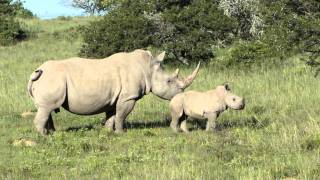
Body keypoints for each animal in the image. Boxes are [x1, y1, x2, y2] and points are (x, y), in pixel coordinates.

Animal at [28, 48, 201, 134]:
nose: (181, 95)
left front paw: (108, 132)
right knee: (47, 108)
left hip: (48, 80)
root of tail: (35, 72)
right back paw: (44, 137)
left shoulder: (114, 97)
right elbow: (121, 115)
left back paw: (52, 133)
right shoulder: (128, 97)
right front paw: (121, 133)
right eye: (169, 81)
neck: (148, 68)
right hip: (52, 79)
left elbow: (111, 115)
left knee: (46, 108)